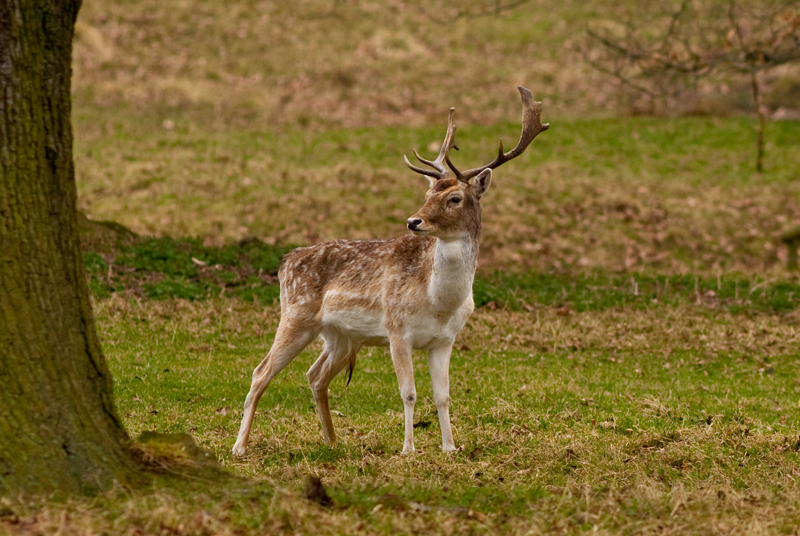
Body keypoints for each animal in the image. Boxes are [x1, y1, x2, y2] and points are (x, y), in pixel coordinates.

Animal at [230, 88, 544, 456]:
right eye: (427, 192)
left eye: (454, 198)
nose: (413, 221)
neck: (439, 303)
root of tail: (284, 262)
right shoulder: (397, 330)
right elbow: (408, 393)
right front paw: (408, 450)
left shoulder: (445, 339)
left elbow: (443, 396)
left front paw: (450, 448)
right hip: (296, 315)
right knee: (260, 371)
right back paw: (240, 447)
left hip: (341, 335)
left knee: (315, 375)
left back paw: (333, 442)